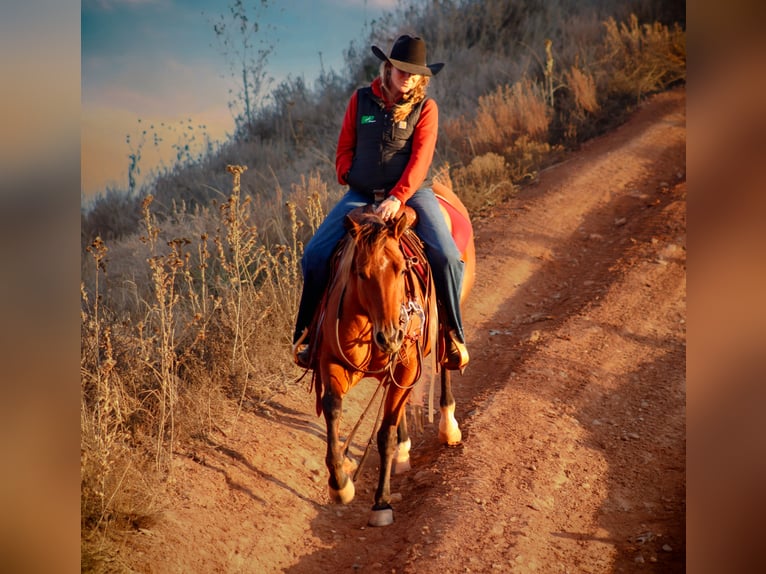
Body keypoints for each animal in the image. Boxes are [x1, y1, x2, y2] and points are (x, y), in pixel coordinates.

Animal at [307, 181, 475, 527]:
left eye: (401, 269)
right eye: (360, 272)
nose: (390, 336)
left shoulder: (406, 363)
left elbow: (384, 432)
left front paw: (381, 502)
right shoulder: (333, 363)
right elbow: (333, 409)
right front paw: (340, 484)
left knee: (445, 364)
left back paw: (448, 426)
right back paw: (404, 449)